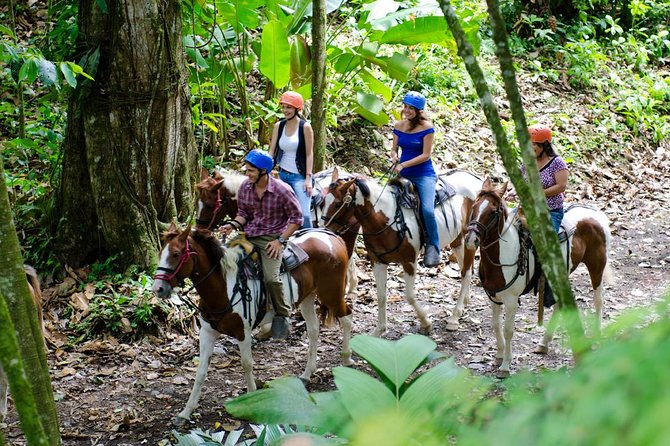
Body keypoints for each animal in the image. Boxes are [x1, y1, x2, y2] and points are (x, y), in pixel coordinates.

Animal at [151, 225, 352, 424]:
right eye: (160, 253)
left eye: (176, 254)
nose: (157, 289)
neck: (224, 287)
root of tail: (332, 237)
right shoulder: (207, 332)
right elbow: (200, 371)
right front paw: (185, 412)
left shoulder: (243, 332)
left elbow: (246, 364)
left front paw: (251, 397)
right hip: (307, 297)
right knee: (313, 330)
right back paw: (307, 374)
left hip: (332, 294)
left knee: (347, 318)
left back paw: (347, 359)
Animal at [322, 169, 484, 336]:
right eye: (322, 203)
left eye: (337, 204)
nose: (323, 229)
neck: (385, 219)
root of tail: (476, 179)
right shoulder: (377, 262)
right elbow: (381, 296)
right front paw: (379, 331)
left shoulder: (409, 261)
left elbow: (410, 296)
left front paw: (426, 323)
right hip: (457, 240)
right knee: (465, 268)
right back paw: (465, 302)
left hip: (470, 239)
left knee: (466, 272)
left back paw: (454, 317)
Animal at [468, 178, 616, 376]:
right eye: (474, 207)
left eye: (492, 212)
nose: (471, 239)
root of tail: (595, 214)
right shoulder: (493, 296)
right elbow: (495, 325)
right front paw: (498, 356)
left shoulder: (511, 300)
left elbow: (508, 330)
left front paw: (505, 365)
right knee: (560, 304)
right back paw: (544, 343)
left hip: (597, 266)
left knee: (598, 300)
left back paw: (598, 336)